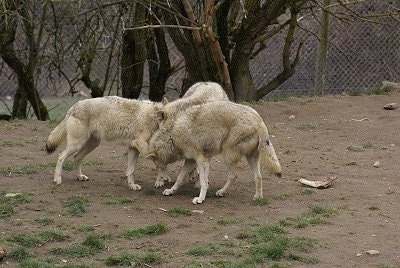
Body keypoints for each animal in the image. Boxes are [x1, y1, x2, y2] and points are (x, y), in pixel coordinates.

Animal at [46, 81, 228, 188]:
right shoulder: (140, 144)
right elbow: (157, 162)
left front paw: (133, 186)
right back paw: (57, 179)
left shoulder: (133, 147)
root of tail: (74, 105)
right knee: (61, 156)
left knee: (76, 158)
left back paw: (79, 177)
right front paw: (164, 178)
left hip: (91, 144)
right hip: (78, 144)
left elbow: (131, 170)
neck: (153, 118)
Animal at [147, 101, 282, 204]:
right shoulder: (190, 161)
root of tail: (259, 121)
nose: (164, 180)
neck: (172, 135)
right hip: (250, 158)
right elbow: (180, 178)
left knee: (234, 175)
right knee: (258, 177)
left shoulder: (201, 159)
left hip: (227, 155)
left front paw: (200, 199)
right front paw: (171, 190)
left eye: (159, 166)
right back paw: (258, 197)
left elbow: (203, 181)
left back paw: (222, 192)